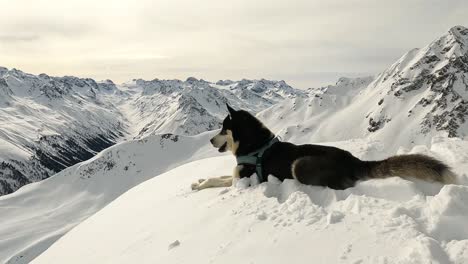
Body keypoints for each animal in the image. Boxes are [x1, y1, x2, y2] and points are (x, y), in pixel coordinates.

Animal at [189, 104, 454, 191]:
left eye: (223, 128)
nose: (211, 141)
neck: (255, 146)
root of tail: (353, 160)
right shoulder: (236, 174)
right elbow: (216, 177)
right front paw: (197, 181)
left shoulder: (244, 179)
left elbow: (217, 180)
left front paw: (199, 185)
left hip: (300, 165)